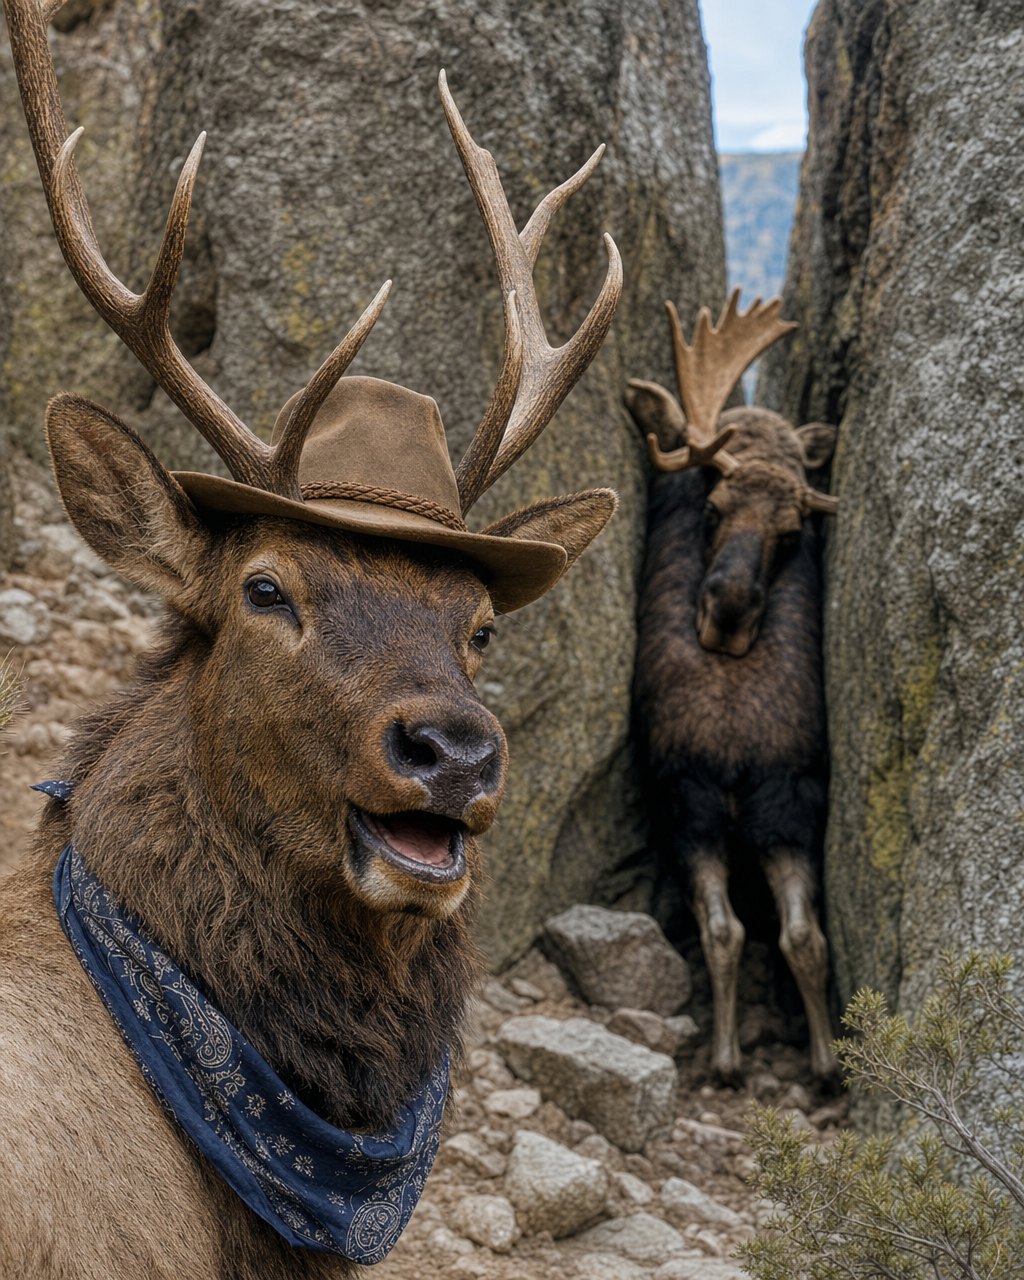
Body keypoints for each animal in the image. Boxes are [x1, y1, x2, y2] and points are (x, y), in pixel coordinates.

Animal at [625, 291, 840, 1085]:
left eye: (791, 531)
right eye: (716, 505)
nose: (729, 610)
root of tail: (739, 762)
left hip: (689, 807)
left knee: (726, 926)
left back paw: (724, 1058)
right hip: (790, 807)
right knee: (803, 932)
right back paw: (825, 1061)